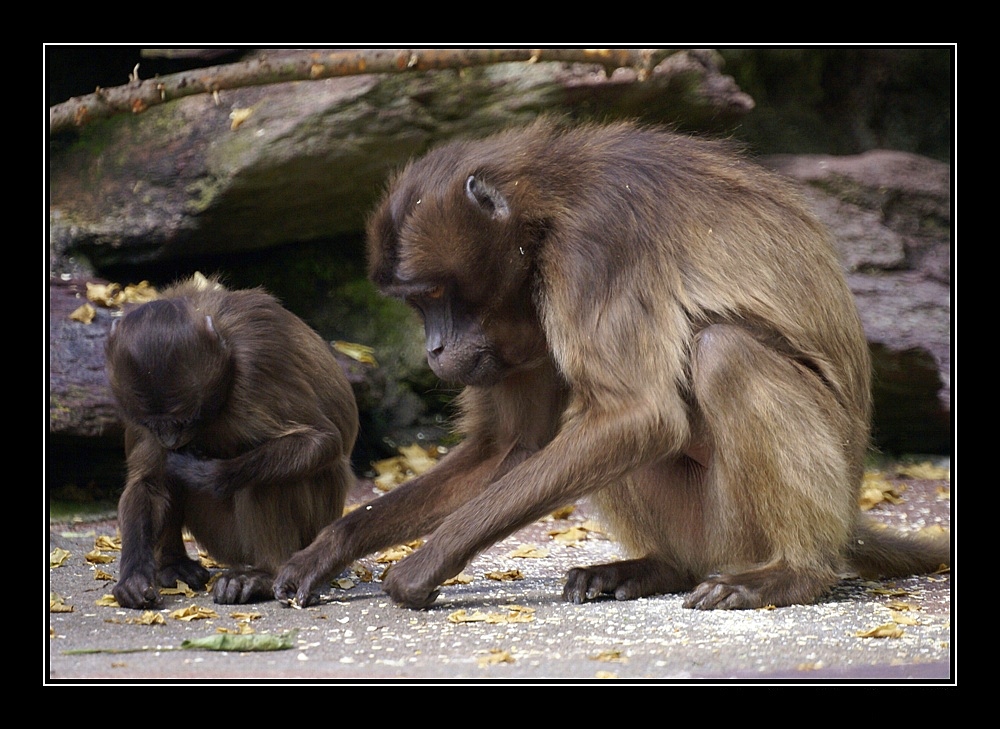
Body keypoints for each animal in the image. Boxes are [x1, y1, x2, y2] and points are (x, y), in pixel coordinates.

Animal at [107, 276, 358, 604]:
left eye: (185, 420)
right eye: (153, 424)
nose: (170, 440)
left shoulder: (256, 365)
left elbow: (323, 442)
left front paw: (207, 474)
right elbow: (148, 482)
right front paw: (135, 578)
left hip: (306, 529)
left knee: (266, 479)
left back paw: (265, 575)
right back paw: (173, 564)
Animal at [274, 118, 952, 608]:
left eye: (435, 296)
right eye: (417, 305)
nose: (434, 350)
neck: (545, 208)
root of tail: (848, 511)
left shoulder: (594, 256)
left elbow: (640, 417)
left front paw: (423, 565)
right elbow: (512, 445)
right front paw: (326, 549)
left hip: (756, 521)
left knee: (722, 355)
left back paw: (793, 574)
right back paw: (662, 569)